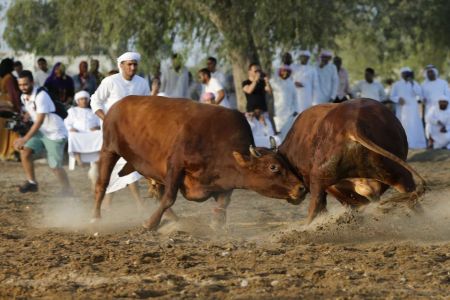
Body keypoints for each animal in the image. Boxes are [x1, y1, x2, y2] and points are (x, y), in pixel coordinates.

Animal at [92, 96, 306, 230]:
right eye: (273, 167)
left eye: (285, 162)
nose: (302, 188)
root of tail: (117, 105)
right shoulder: (175, 165)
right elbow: (169, 197)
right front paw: (149, 224)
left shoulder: (222, 182)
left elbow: (223, 203)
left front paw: (217, 225)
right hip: (108, 149)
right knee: (102, 185)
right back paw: (95, 217)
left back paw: (175, 220)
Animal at [280, 98, 428, 223]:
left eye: (275, 168)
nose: (298, 191)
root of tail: (352, 125)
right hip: (389, 170)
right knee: (408, 189)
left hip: (320, 176)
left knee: (316, 203)